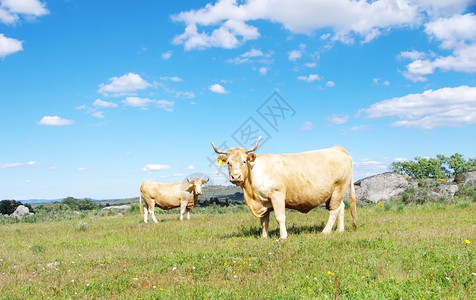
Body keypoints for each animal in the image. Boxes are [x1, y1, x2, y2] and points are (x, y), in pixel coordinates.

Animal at [210, 137, 356, 240]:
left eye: (244, 161)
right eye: (228, 163)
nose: (235, 176)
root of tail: (337, 148)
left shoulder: (277, 195)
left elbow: (280, 217)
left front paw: (283, 236)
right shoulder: (263, 202)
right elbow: (264, 221)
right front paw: (264, 237)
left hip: (339, 187)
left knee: (334, 210)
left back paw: (325, 232)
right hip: (332, 193)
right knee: (341, 207)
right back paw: (340, 230)